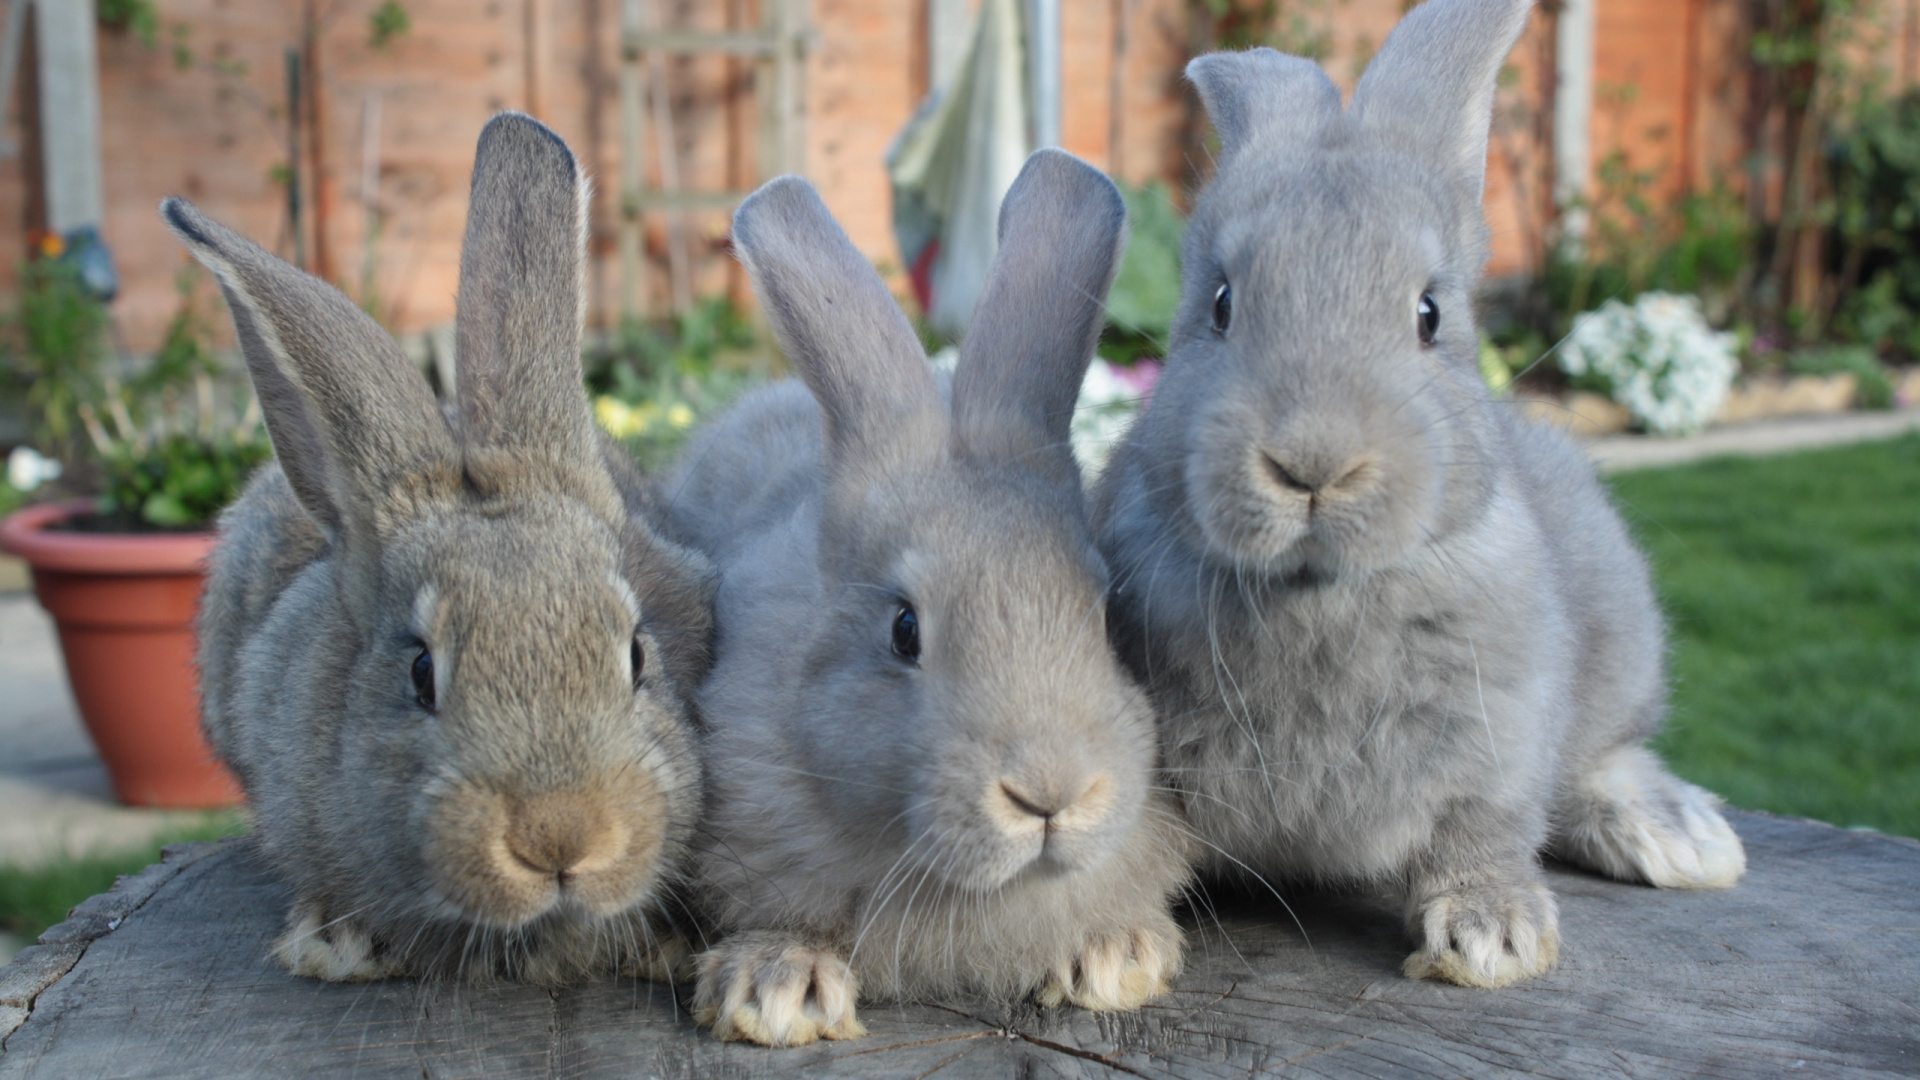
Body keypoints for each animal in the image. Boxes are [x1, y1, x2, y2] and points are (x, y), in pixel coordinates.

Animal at [1091, 0, 1746, 991]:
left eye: (1430, 315)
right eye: (1221, 304)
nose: (1313, 464)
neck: (1315, 595)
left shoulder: (1500, 734)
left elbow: (1481, 831)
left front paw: (1492, 940)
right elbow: (1128, 849)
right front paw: (1108, 954)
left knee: (1601, 763)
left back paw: (1680, 839)